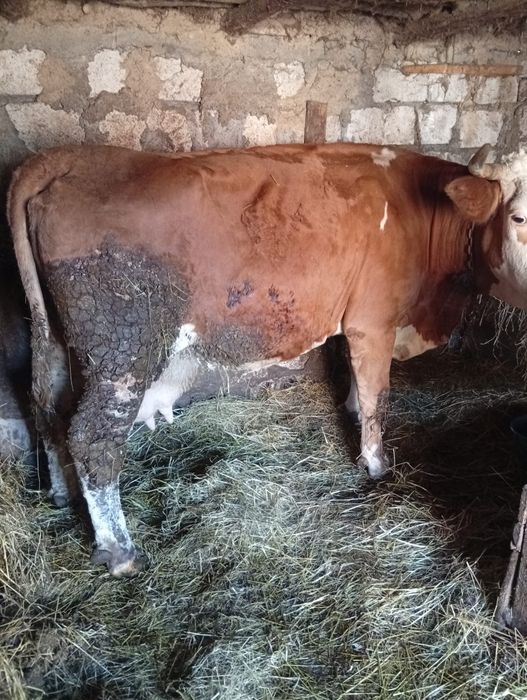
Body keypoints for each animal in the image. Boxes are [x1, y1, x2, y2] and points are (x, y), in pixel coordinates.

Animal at [6, 141, 525, 575]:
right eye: (518, 218)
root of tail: (72, 157)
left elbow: (356, 380)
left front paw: (352, 414)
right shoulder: (373, 320)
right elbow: (377, 393)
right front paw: (376, 464)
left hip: (53, 338)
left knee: (46, 409)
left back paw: (61, 493)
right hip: (121, 348)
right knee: (91, 435)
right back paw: (120, 552)